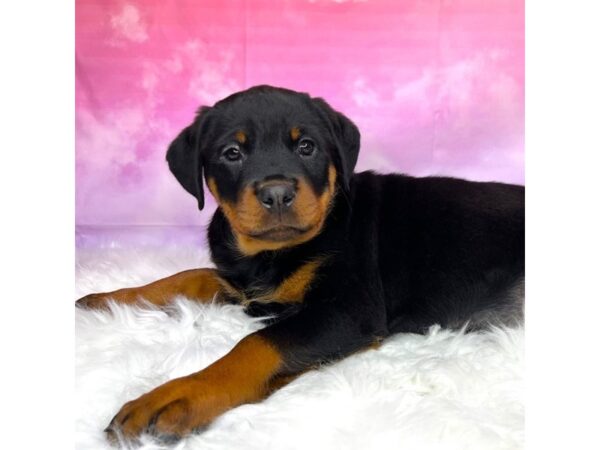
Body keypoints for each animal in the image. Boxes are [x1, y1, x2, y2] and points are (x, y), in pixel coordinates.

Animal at [76, 84, 524, 442]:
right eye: (232, 153)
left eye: (306, 146)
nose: (276, 193)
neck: (267, 255)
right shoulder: (243, 284)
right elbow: (189, 277)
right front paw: (107, 300)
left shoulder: (349, 310)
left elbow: (257, 344)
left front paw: (176, 395)